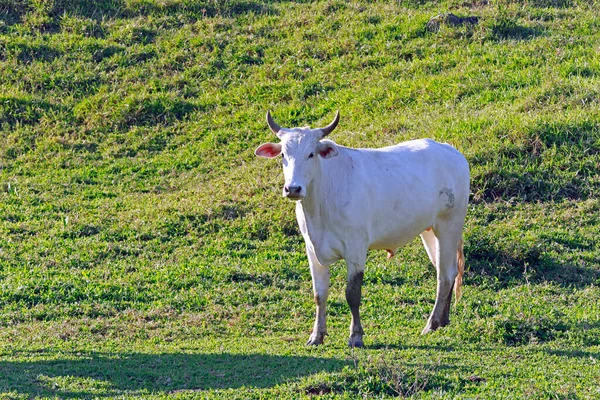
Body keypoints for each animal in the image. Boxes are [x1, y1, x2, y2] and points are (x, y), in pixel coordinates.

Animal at [254, 111, 468, 346]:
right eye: (283, 154)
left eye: (311, 154)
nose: (292, 188)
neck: (319, 207)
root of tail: (450, 150)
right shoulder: (312, 249)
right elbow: (319, 294)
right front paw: (316, 335)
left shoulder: (355, 248)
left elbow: (352, 294)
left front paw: (355, 336)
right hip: (429, 230)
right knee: (444, 270)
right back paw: (442, 321)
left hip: (449, 225)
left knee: (445, 274)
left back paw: (431, 324)